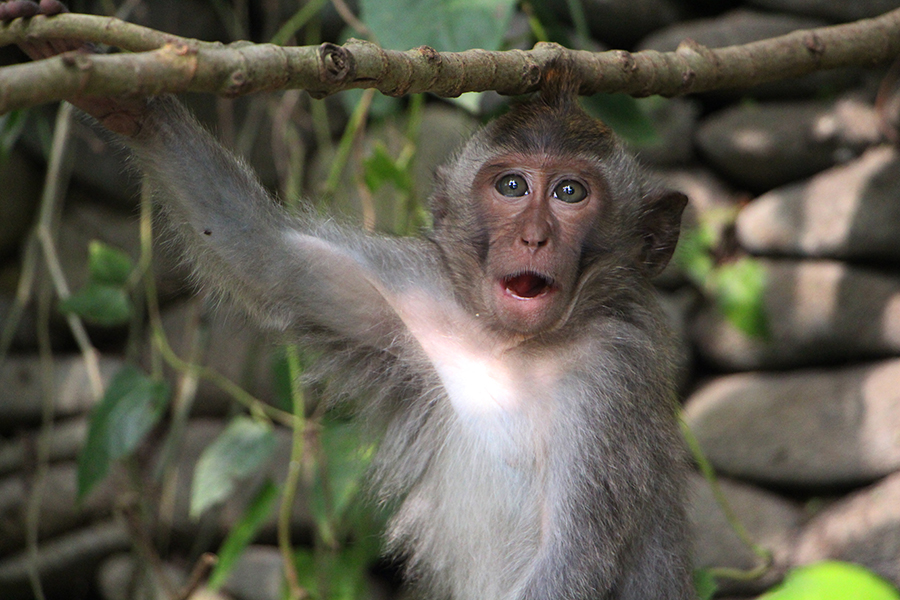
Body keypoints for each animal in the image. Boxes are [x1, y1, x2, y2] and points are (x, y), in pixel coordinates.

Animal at [1, 2, 693, 598]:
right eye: (514, 186)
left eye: (570, 192)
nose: (534, 236)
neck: (515, 348)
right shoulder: (420, 299)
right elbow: (269, 258)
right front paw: (125, 100)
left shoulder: (614, 375)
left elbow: (575, 559)